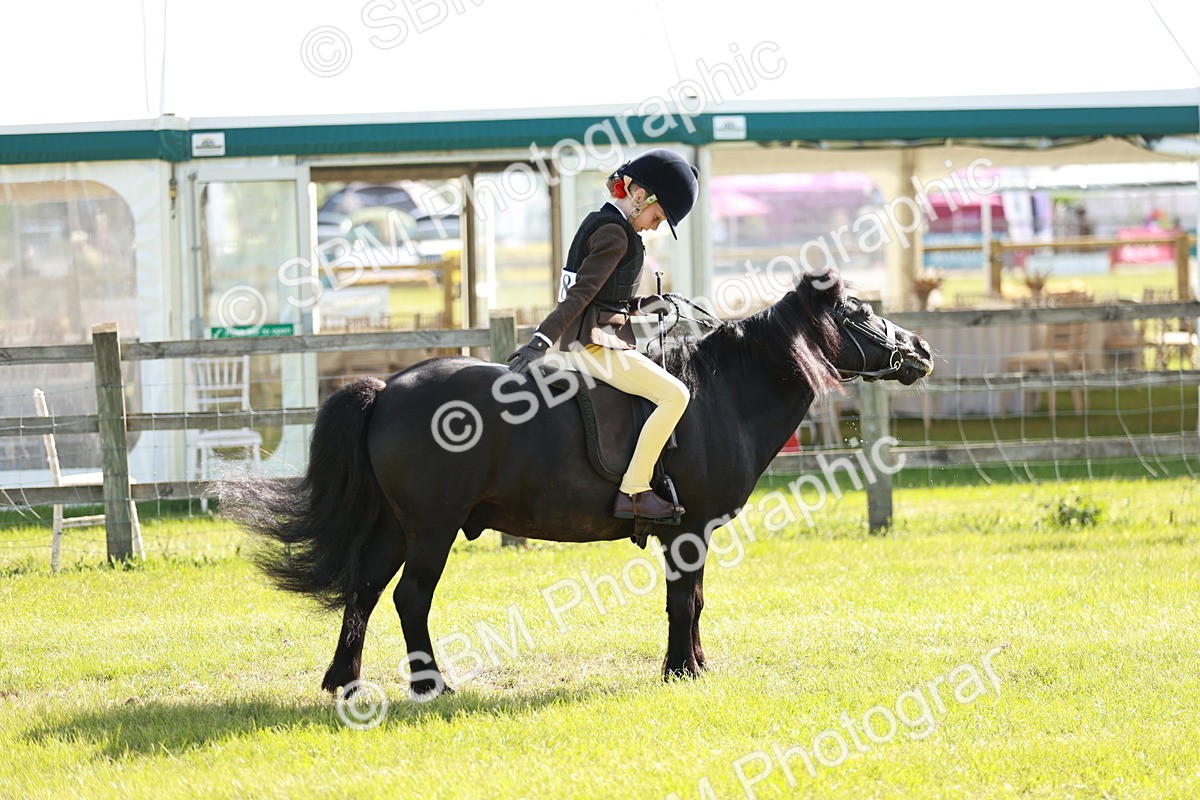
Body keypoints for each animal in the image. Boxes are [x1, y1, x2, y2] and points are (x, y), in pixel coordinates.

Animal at [222, 271, 932, 698]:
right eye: (860, 311)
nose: (921, 350)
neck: (722, 390)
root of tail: (389, 387)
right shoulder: (689, 532)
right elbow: (684, 602)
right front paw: (681, 670)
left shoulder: (692, 534)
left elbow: (695, 600)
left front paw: (694, 663)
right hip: (431, 529)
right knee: (408, 599)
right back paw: (431, 685)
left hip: (399, 528)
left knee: (365, 592)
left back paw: (345, 681)